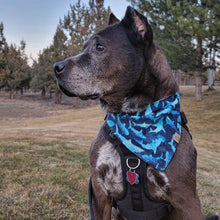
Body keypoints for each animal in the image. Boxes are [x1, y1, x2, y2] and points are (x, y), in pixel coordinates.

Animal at [53, 6, 218, 220]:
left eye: (99, 47)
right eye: (83, 48)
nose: (56, 67)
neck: (133, 118)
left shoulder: (188, 200)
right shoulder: (100, 194)